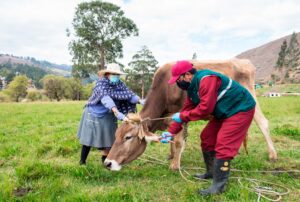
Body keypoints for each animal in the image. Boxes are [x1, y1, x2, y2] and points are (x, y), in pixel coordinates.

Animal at [104, 58, 278, 170]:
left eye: (128, 137)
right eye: (115, 135)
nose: (107, 163)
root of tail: (244, 61)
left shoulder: (180, 113)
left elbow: (178, 140)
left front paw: (175, 165)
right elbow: (172, 137)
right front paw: (171, 156)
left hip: (251, 97)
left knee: (263, 123)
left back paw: (273, 155)